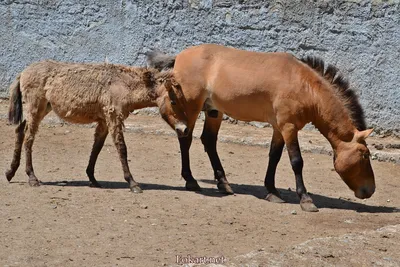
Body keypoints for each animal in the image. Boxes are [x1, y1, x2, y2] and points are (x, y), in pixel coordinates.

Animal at [5, 60, 188, 193]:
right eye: (173, 101)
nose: (185, 129)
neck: (123, 85)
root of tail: (23, 72)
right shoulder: (113, 117)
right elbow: (122, 148)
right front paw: (132, 183)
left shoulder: (104, 121)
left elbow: (97, 148)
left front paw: (92, 179)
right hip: (36, 108)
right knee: (29, 138)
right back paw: (32, 178)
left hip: (43, 109)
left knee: (20, 130)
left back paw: (10, 172)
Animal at [147, 44, 376, 213]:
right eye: (365, 155)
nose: (370, 190)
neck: (304, 86)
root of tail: (179, 56)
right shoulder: (289, 127)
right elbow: (296, 161)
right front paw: (305, 199)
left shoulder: (278, 128)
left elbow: (274, 157)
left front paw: (272, 191)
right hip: (191, 108)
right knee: (185, 138)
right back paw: (191, 180)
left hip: (214, 111)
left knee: (209, 141)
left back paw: (223, 183)